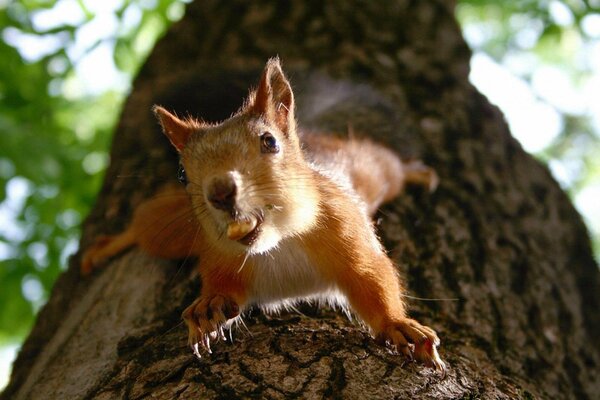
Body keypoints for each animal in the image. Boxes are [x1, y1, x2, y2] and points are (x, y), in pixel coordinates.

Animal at [81, 57, 446, 374]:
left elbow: (372, 276)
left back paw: (416, 172)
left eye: (269, 141)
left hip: (368, 169)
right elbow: (223, 287)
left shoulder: (345, 226)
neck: (277, 242)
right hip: (176, 229)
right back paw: (109, 245)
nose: (220, 191)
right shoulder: (218, 254)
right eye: (182, 174)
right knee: (146, 228)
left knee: (388, 164)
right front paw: (208, 306)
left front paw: (399, 326)